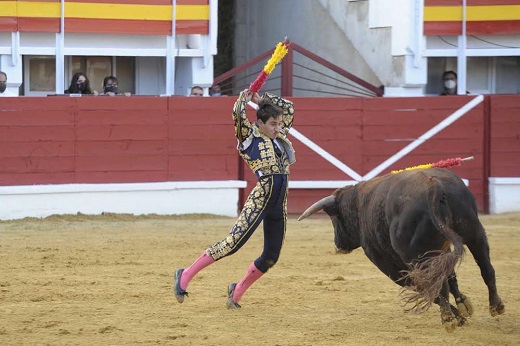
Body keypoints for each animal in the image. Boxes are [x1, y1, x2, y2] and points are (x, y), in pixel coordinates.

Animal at [298, 168, 506, 332]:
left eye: (334, 218)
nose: (337, 245)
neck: (358, 204)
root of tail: (434, 185)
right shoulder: (443, 250)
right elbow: (450, 278)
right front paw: (463, 306)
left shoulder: (388, 263)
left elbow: (424, 287)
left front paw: (459, 317)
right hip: (474, 232)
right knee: (486, 269)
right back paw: (496, 306)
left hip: (418, 256)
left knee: (436, 284)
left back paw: (448, 319)